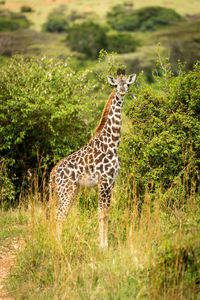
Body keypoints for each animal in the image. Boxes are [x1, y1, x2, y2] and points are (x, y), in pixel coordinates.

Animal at [48, 69, 137, 247]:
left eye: (127, 84)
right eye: (116, 84)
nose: (122, 91)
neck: (113, 144)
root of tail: (53, 173)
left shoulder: (111, 182)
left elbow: (105, 212)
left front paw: (104, 243)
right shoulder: (104, 181)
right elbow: (101, 213)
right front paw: (102, 245)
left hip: (70, 191)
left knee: (60, 215)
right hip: (66, 191)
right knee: (59, 216)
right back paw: (59, 246)